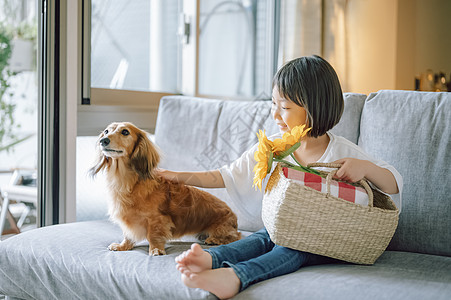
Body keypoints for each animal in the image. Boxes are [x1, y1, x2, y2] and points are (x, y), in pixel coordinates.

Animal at [89, 122, 242, 255]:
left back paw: (214, 239)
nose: (103, 140)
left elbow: (153, 235)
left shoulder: (157, 219)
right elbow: (128, 234)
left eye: (125, 132)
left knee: (236, 236)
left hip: (222, 229)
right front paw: (123, 246)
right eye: (106, 131)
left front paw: (156, 249)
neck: (127, 181)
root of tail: (234, 216)